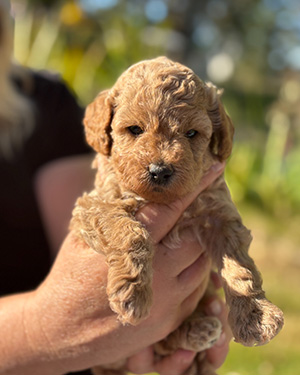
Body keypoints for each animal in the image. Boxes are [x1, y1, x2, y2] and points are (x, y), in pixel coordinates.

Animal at [71, 56, 284, 375]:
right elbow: (130, 232)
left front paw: (256, 316)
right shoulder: (94, 205)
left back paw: (200, 331)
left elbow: (240, 267)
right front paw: (133, 291)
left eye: (191, 134)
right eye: (135, 130)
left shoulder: (219, 215)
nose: (159, 170)